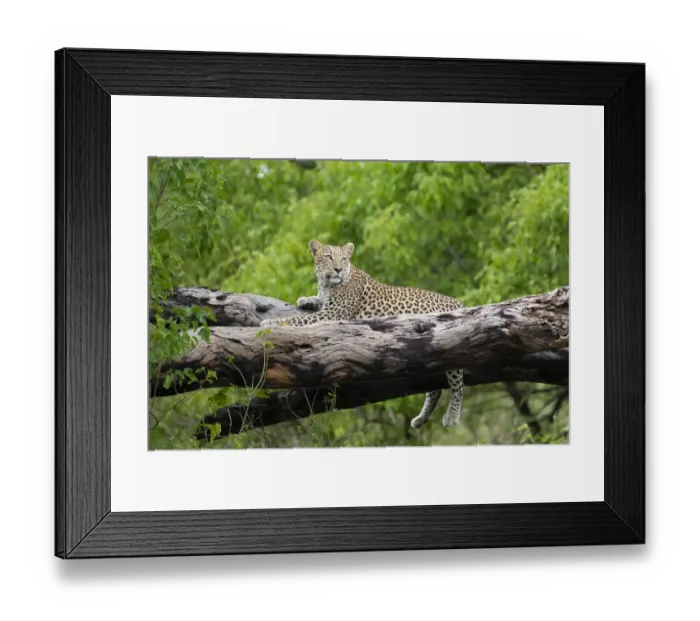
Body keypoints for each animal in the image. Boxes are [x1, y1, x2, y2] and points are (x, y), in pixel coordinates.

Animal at [260, 240, 467, 429]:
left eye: (343, 259)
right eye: (328, 257)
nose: (338, 270)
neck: (326, 284)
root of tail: (460, 304)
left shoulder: (333, 314)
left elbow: (298, 320)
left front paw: (272, 323)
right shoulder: (328, 307)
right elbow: (315, 302)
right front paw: (307, 300)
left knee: (458, 384)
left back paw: (452, 415)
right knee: (435, 391)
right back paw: (420, 419)